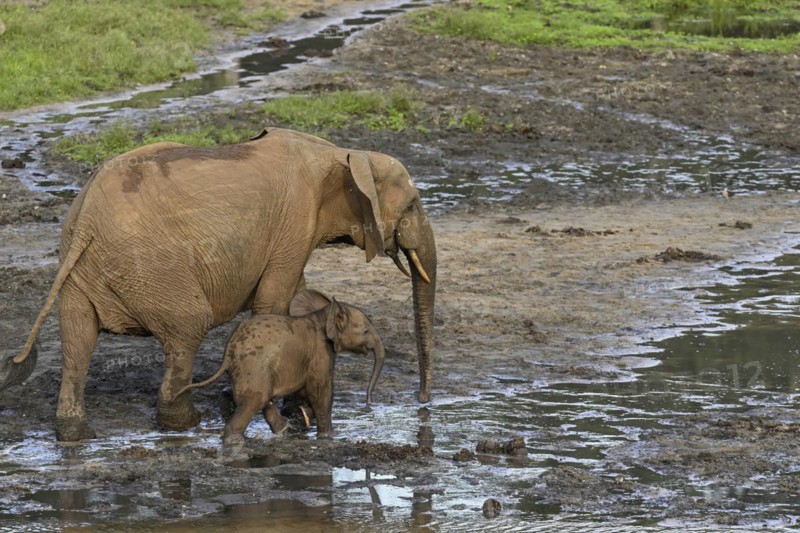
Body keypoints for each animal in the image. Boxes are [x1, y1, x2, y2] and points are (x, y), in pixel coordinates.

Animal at [175, 289, 384, 444]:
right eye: (366, 331)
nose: (369, 403)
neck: (325, 313)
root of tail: (229, 351)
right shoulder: (320, 353)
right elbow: (320, 391)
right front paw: (328, 438)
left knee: (256, 397)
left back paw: (282, 428)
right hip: (253, 366)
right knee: (254, 400)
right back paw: (237, 441)